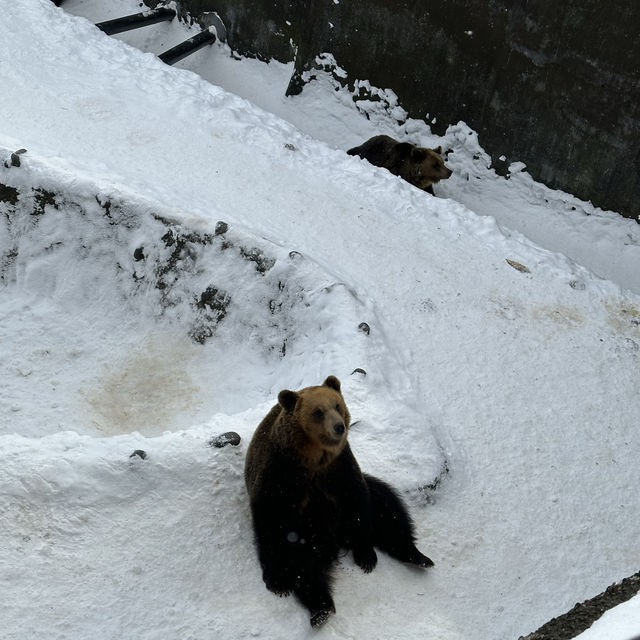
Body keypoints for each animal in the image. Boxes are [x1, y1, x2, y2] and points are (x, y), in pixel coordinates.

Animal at [245, 372, 436, 628]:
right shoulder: (283, 475)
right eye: (318, 411)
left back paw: (418, 556)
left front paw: (366, 557)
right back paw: (321, 609)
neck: (313, 457)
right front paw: (277, 581)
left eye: (337, 405)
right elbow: (271, 522)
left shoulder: (339, 467)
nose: (339, 426)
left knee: (388, 507)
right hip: (308, 530)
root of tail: (335, 543)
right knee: (305, 566)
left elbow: (359, 501)